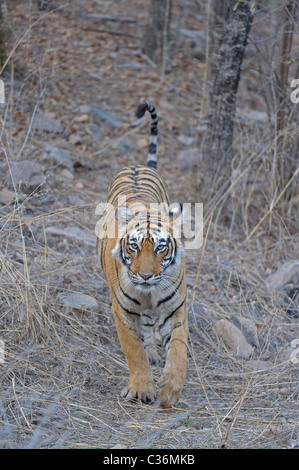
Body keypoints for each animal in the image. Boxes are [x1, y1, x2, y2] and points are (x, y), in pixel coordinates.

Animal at [97, 102, 189, 408]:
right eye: (134, 246)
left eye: (161, 247)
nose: (146, 276)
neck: (149, 293)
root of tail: (138, 165)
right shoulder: (122, 312)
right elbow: (133, 350)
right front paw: (140, 389)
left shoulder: (176, 309)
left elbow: (179, 350)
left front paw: (170, 391)